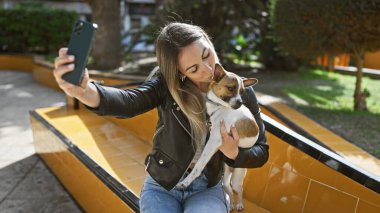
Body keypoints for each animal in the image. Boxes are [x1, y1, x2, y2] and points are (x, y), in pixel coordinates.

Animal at [177, 63, 260, 211]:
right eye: (231, 88)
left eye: (242, 92)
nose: (240, 102)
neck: (219, 107)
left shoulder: (215, 140)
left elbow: (199, 164)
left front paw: (186, 182)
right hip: (226, 180)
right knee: (229, 192)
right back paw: (231, 205)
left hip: (237, 179)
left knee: (240, 190)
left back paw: (239, 204)